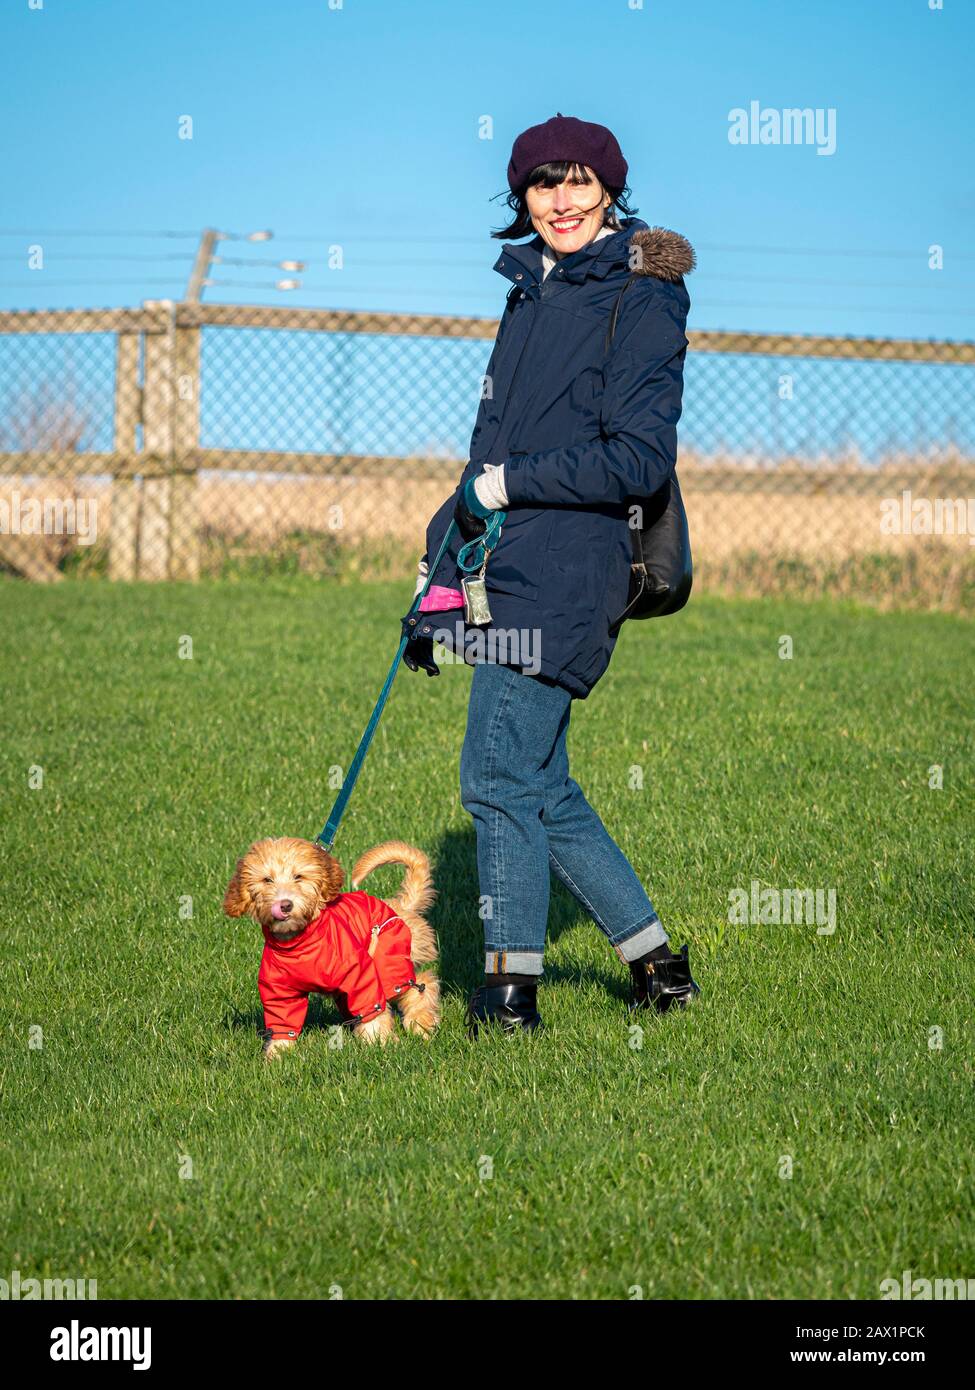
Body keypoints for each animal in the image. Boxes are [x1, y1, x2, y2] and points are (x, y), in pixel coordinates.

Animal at [222, 839, 439, 1056]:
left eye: (298, 877)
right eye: (267, 880)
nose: (285, 905)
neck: (300, 946)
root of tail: (401, 906)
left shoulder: (360, 973)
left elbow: (372, 1007)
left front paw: (378, 1041)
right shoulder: (279, 989)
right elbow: (283, 1020)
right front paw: (277, 1053)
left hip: (388, 959)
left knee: (420, 984)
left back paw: (421, 1024)